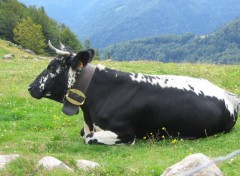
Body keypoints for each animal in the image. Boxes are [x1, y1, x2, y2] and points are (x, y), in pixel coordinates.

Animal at [28, 41, 240, 144]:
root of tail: (229, 95)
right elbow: (83, 134)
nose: (31, 87)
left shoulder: (126, 133)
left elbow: (88, 139)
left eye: (51, 66)